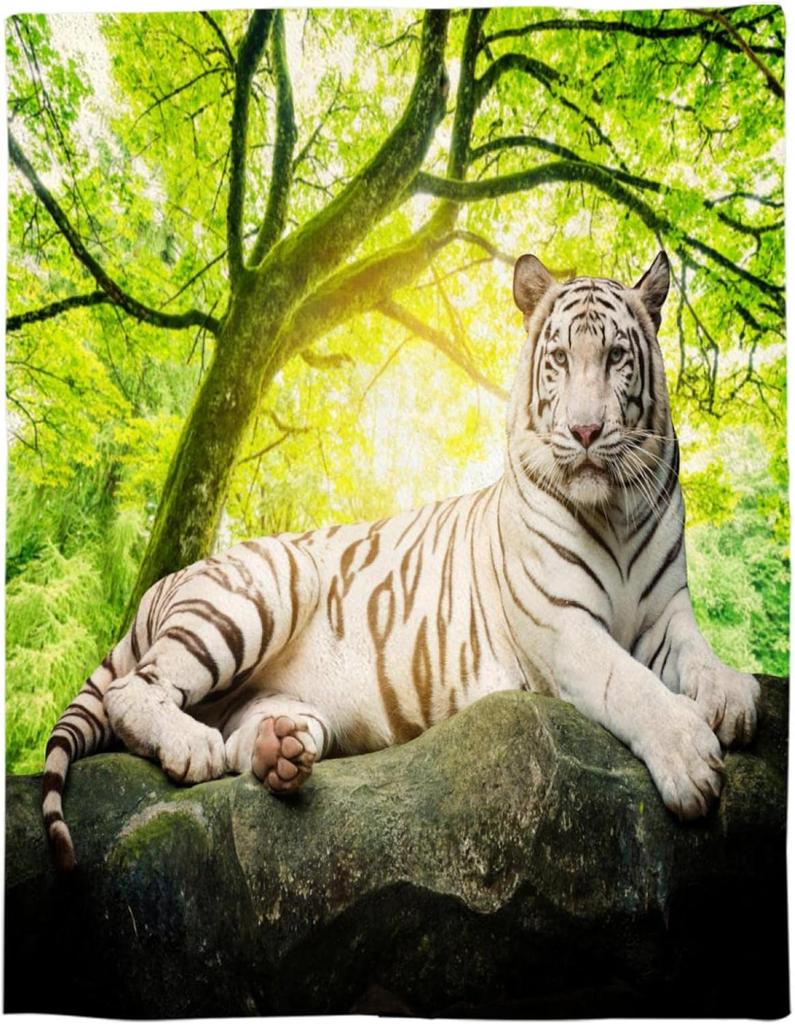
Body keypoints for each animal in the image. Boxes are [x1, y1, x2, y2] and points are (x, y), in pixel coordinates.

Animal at [42, 250, 761, 872]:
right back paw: (192, 748)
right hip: (255, 596)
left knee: (250, 728)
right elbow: (628, 683)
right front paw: (690, 757)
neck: (614, 508)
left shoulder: (665, 612)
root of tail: (165, 582)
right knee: (133, 692)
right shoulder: (562, 627)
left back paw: (278, 750)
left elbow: (695, 655)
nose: (584, 432)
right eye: (559, 358)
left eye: (615, 357)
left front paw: (731, 694)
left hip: (284, 700)